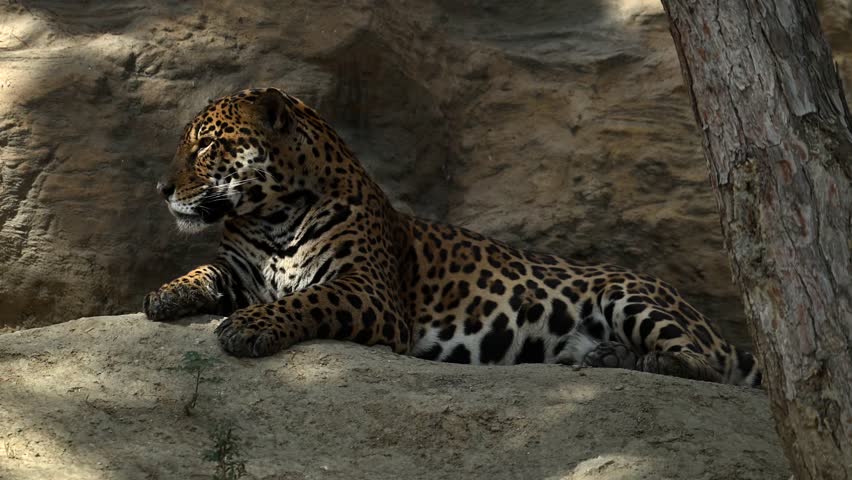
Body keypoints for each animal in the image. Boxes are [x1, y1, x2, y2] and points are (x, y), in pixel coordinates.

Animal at [143, 87, 762, 387]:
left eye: (206, 146)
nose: (161, 187)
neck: (272, 215)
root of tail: (711, 322)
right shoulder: (239, 269)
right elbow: (203, 271)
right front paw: (164, 295)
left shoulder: (369, 292)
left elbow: (308, 300)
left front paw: (249, 326)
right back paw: (608, 357)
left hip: (633, 297)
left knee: (707, 367)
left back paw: (647, 362)